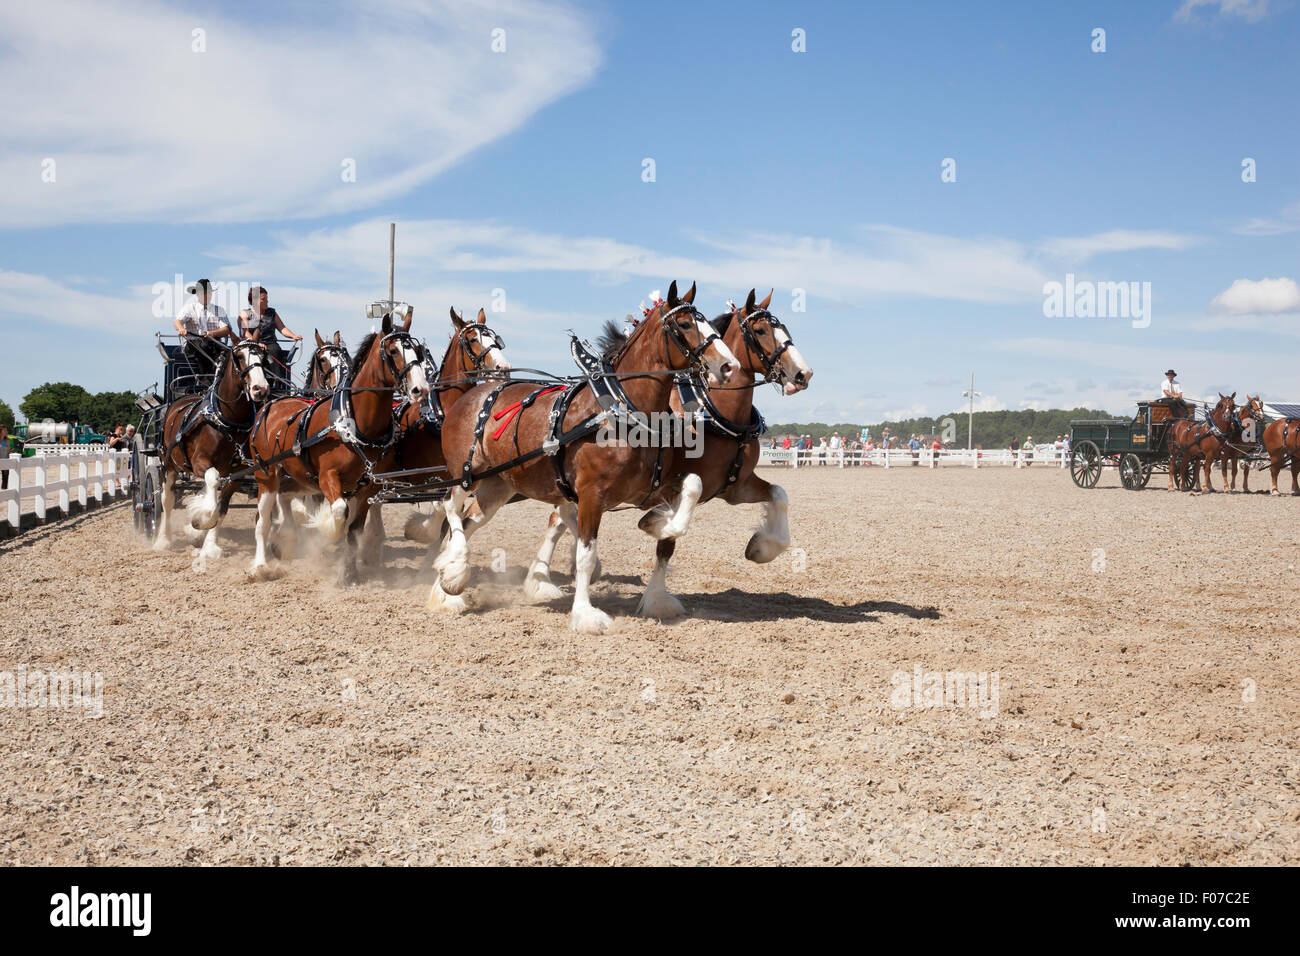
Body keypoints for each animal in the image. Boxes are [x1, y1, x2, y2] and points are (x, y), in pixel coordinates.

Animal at [154, 331, 270, 561]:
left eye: (263, 356)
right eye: (240, 356)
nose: (260, 389)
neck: (227, 421)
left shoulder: (237, 473)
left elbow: (221, 508)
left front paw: (209, 544)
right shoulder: (200, 463)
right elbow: (212, 482)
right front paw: (200, 519)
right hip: (168, 463)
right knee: (167, 500)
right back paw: (163, 540)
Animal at [246, 309, 429, 584]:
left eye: (417, 351)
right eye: (393, 350)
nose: (421, 389)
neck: (357, 423)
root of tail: (271, 405)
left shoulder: (368, 487)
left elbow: (353, 531)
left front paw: (349, 573)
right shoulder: (327, 478)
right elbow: (339, 513)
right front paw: (326, 532)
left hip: (298, 476)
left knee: (284, 498)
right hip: (266, 474)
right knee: (262, 521)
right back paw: (260, 564)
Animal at [428, 280, 739, 632]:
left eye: (710, 323)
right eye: (685, 324)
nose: (729, 366)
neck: (621, 410)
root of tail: (469, 395)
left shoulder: (651, 486)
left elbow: (693, 487)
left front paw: (659, 525)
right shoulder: (591, 494)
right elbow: (585, 557)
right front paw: (586, 614)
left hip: (498, 486)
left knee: (466, 524)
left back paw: (446, 587)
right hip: (465, 474)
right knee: (449, 508)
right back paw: (454, 574)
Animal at [521, 288, 813, 619]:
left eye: (784, 328)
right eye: (761, 330)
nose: (803, 374)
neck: (712, 412)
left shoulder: (736, 486)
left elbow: (779, 494)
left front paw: (763, 547)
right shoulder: (675, 483)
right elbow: (669, 538)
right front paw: (656, 581)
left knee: (561, 516)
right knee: (560, 516)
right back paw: (543, 580)